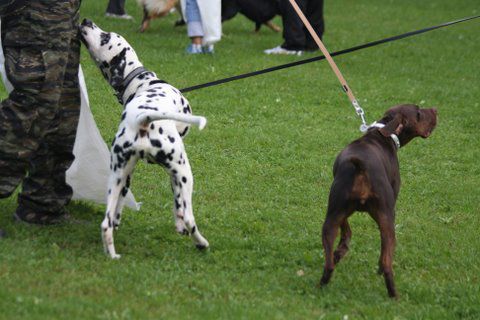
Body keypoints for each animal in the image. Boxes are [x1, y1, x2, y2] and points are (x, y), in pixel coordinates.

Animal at [79, 17, 209, 258]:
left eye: (106, 36)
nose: (86, 20)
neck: (142, 82)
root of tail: (144, 119)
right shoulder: (177, 174)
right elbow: (178, 204)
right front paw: (180, 226)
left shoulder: (130, 176)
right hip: (186, 172)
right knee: (189, 218)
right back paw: (201, 243)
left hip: (117, 177)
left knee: (106, 223)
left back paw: (112, 255)